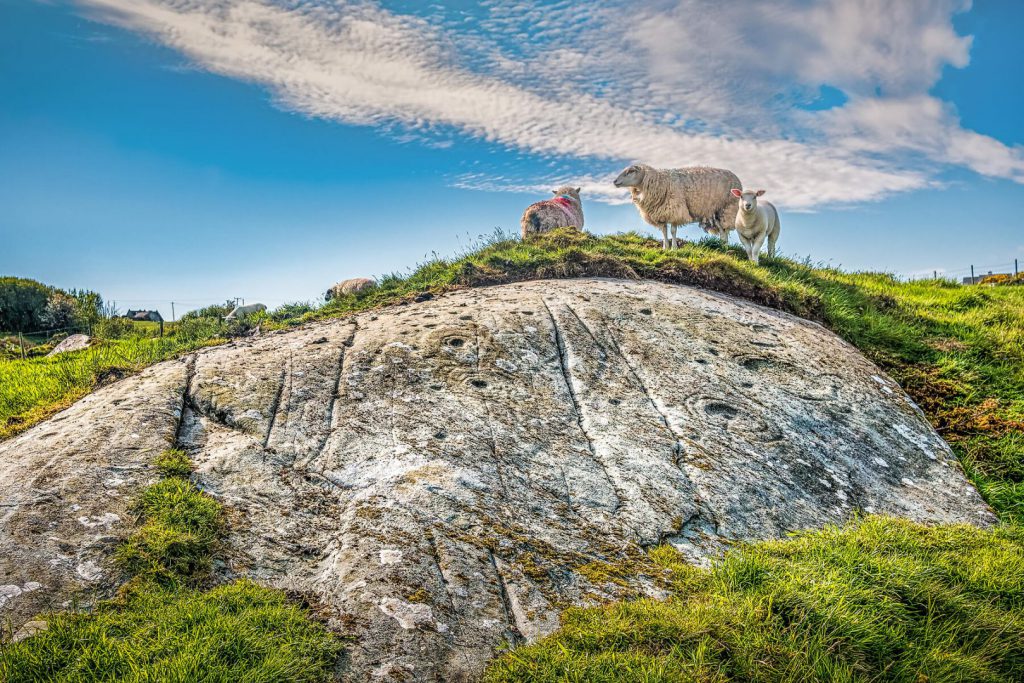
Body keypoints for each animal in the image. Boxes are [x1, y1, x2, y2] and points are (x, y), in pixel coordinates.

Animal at [610, 163, 741, 249]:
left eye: (630, 171)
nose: (614, 181)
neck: (659, 182)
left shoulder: (675, 210)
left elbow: (673, 231)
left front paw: (674, 248)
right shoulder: (660, 213)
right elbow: (664, 230)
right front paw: (665, 248)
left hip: (727, 208)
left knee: (724, 230)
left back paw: (725, 248)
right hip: (716, 211)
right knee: (722, 230)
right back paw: (723, 247)